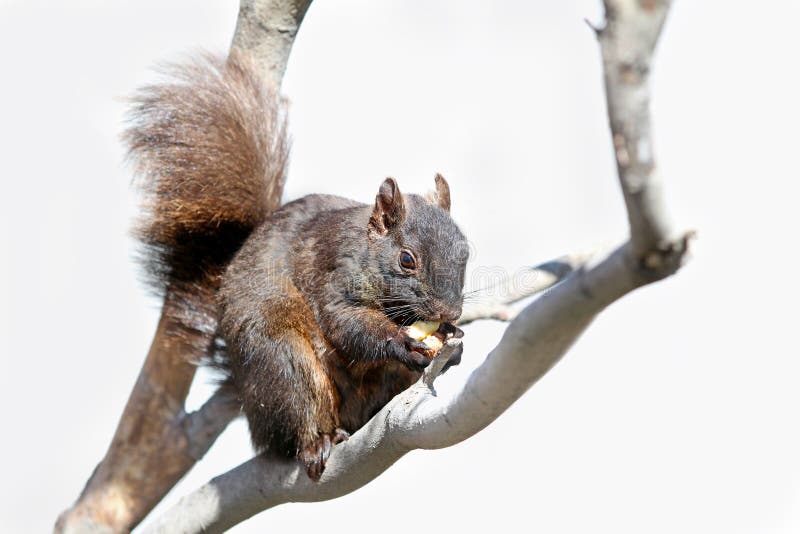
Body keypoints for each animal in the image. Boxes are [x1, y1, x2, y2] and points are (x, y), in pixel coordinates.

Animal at [125, 52, 469, 480]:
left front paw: (453, 340)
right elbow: (347, 323)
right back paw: (317, 442)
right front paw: (402, 342)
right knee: (298, 410)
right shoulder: (330, 271)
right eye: (407, 259)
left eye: (466, 252)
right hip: (282, 363)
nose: (448, 312)